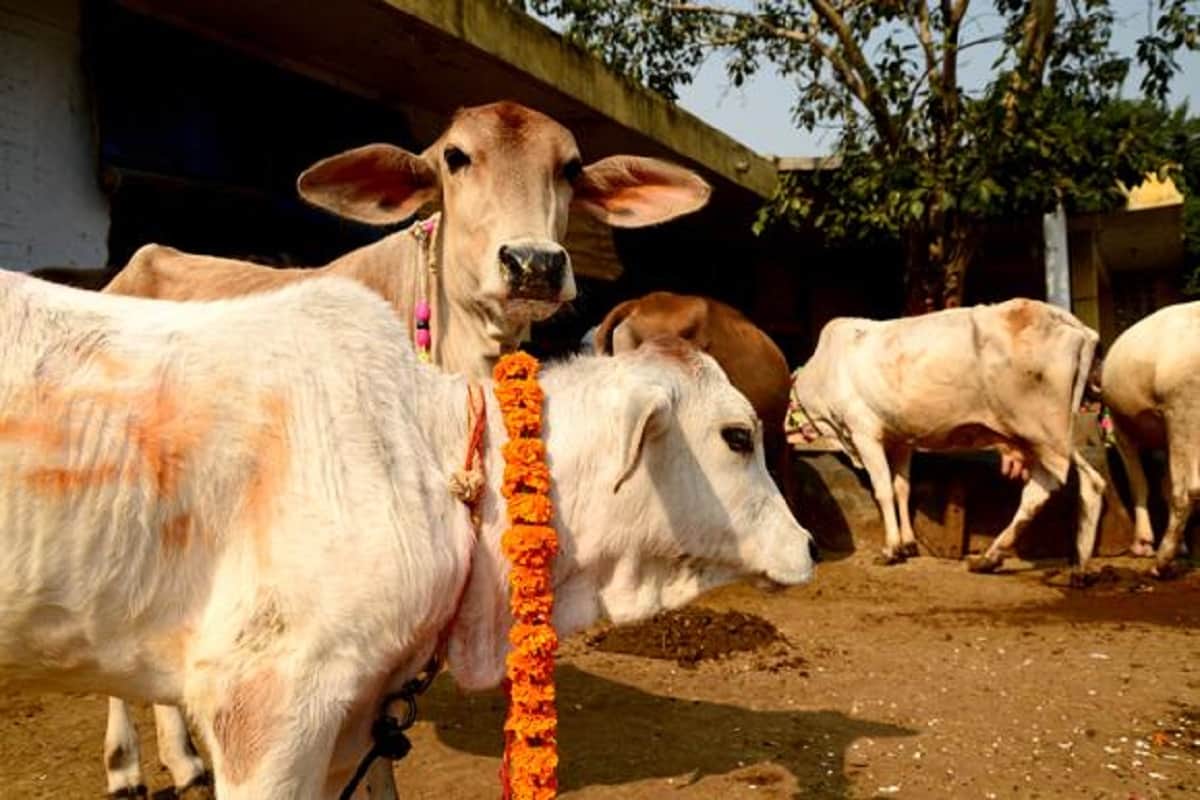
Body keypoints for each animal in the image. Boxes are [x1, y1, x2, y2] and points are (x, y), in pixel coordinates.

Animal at [785, 298, 1105, 579]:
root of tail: (1067, 320)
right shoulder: (901, 439)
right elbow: (902, 488)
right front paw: (908, 544)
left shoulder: (864, 432)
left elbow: (884, 490)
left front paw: (890, 549)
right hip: (1054, 434)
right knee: (1087, 483)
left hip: (1042, 432)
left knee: (1052, 484)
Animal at [1102, 300, 1200, 577]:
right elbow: (1163, 483)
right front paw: (1183, 546)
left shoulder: (1121, 428)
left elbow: (1140, 482)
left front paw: (1143, 543)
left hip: (1183, 404)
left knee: (1188, 488)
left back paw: (1162, 560)